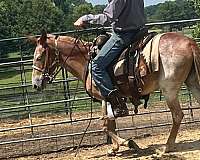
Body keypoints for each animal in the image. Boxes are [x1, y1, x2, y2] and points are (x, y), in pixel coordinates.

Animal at [30, 30, 200, 154]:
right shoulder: (109, 99)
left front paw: (128, 143)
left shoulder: (105, 96)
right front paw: (114, 148)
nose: (35, 84)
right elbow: (111, 124)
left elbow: (105, 125)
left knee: (177, 115)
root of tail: (190, 43)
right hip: (192, 83)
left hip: (169, 89)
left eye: (39, 57)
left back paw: (167, 147)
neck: (87, 61)